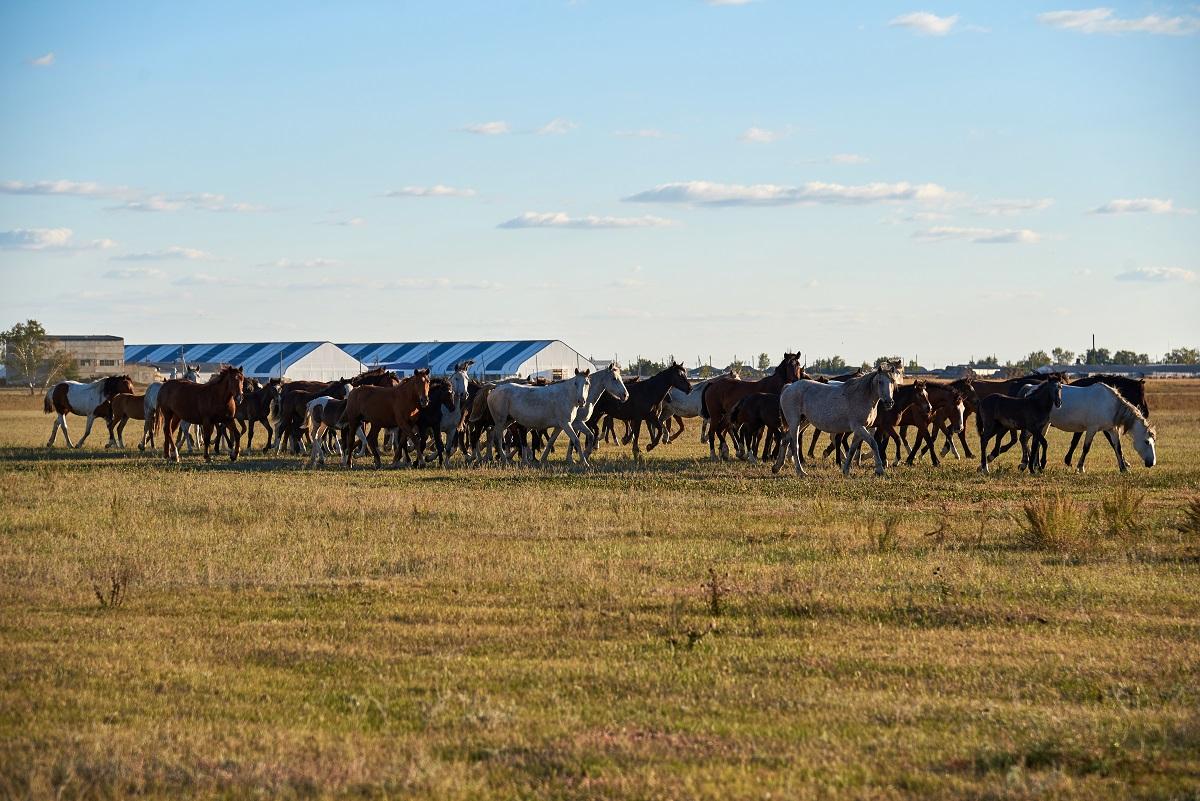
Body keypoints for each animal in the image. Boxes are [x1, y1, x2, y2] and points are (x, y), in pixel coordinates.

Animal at [768, 362, 902, 474]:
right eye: (880, 381)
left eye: (892, 381)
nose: (889, 402)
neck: (862, 396)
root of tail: (789, 387)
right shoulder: (859, 427)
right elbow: (873, 444)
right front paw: (879, 469)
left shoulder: (860, 430)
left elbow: (852, 449)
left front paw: (846, 470)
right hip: (794, 422)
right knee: (794, 444)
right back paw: (800, 472)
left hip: (803, 421)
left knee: (785, 439)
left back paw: (777, 467)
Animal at [1012, 383, 1152, 472]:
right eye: (1147, 442)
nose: (1151, 463)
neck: (1108, 404)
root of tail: (1030, 389)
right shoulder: (1092, 429)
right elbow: (1086, 448)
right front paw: (1080, 467)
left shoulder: (1111, 429)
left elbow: (1118, 447)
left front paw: (1123, 468)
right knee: (1025, 439)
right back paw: (1027, 464)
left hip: (1043, 426)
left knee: (1034, 441)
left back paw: (1034, 465)